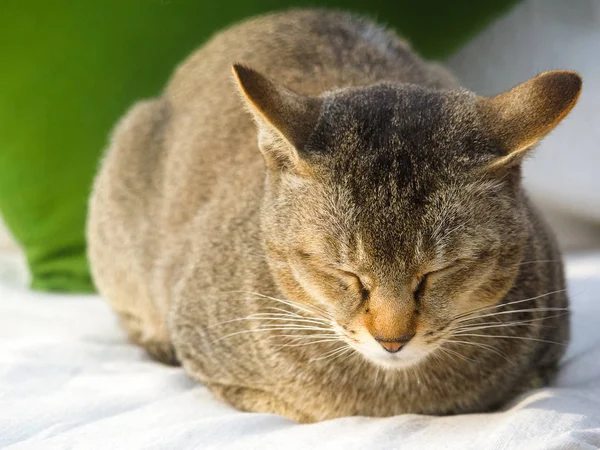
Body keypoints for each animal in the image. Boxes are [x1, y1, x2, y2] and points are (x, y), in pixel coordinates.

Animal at [88, 7, 580, 422]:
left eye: (439, 271)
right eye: (344, 272)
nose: (392, 340)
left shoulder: (547, 357)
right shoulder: (212, 359)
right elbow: (303, 407)